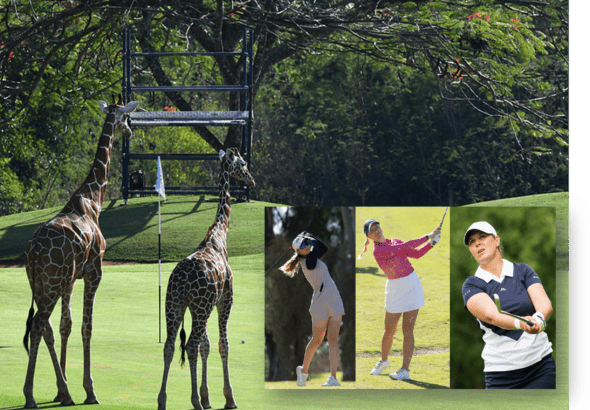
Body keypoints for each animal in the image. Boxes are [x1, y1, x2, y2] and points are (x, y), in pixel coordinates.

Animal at [22, 95, 140, 406]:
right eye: (127, 117)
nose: (129, 132)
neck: (93, 198)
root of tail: (33, 252)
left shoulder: (70, 280)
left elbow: (67, 325)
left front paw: (61, 388)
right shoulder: (94, 271)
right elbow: (87, 327)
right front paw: (89, 390)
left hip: (40, 283)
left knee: (45, 326)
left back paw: (61, 390)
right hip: (50, 283)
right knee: (38, 325)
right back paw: (30, 395)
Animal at [158, 147, 256, 410]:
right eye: (243, 163)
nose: (252, 179)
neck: (219, 235)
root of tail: (181, 281)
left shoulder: (202, 306)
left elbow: (207, 345)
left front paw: (207, 395)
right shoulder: (225, 300)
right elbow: (223, 345)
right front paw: (228, 397)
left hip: (174, 305)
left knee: (170, 345)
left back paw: (162, 400)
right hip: (199, 307)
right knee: (190, 345)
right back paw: (193, 401)